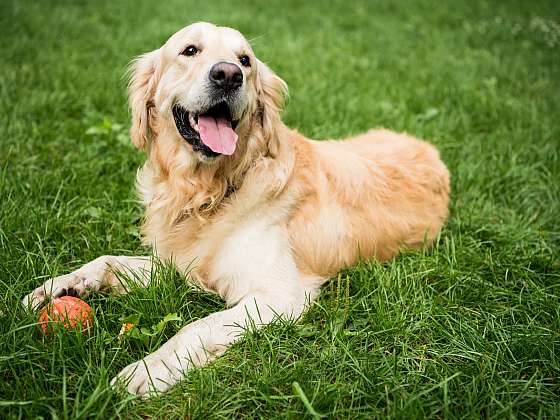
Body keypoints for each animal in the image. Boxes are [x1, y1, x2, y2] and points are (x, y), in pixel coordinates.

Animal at [23, 21, 450, 396]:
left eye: (245, 60)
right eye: (189, 50)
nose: (228, 75)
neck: (208, 192)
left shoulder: (279, 295)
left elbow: (197, 327)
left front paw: (147, 371)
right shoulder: (176, 263)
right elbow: (108, 260)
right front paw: (58, 286)